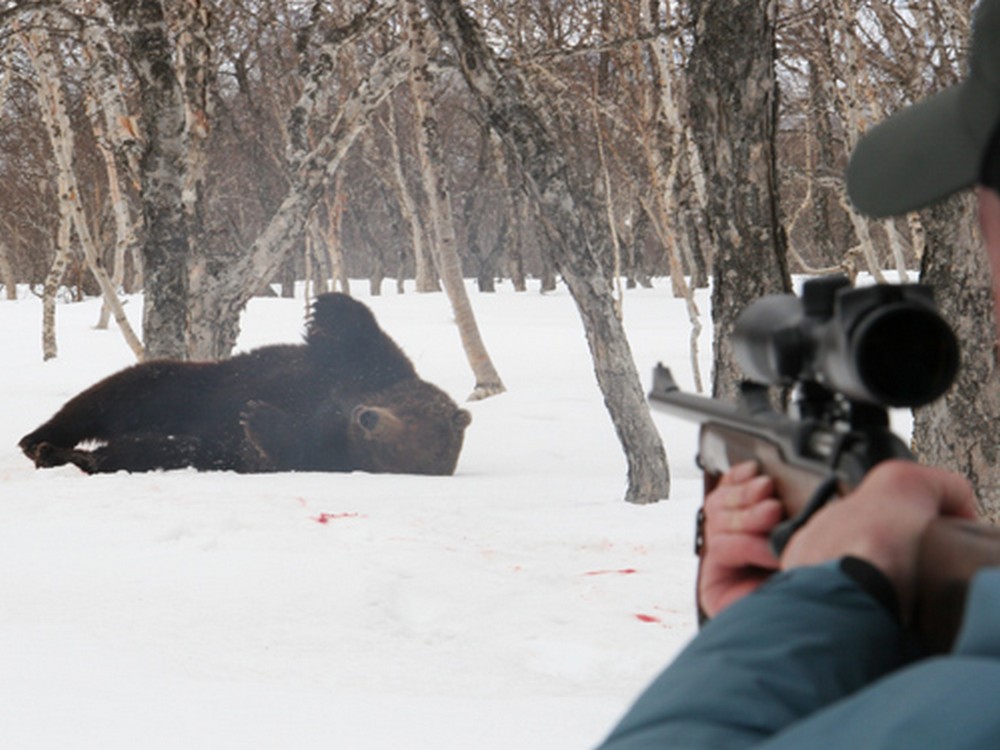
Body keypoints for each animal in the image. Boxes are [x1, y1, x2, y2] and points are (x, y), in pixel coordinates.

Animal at [18, 294, 472, 476]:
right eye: (413, 412)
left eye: (400, 447)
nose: (369, 418)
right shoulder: (362, 373)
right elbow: (365, 342)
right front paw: (326, 305)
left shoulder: (328, 456)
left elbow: (291, 446)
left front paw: (257, 415)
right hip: (186, 389)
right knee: (113, 395)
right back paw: (38, 438)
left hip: (194, 445)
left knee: (141, 449)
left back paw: (63, 455)